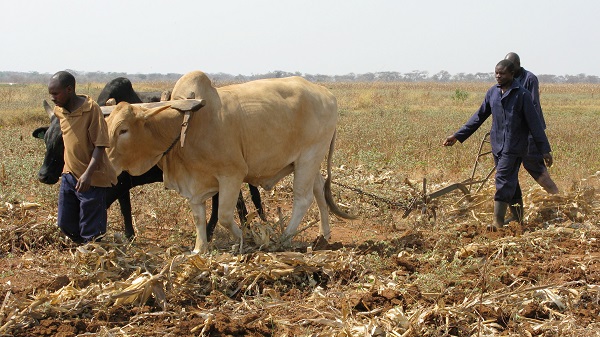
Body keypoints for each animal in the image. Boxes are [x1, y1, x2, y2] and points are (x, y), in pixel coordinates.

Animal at [33, 77, 264, 239]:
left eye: (63, 143)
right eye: (46, 140)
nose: (43, 175)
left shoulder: (115, 184)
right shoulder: (120, 183)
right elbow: (123, 208)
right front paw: (128, 236)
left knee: (224, 204)